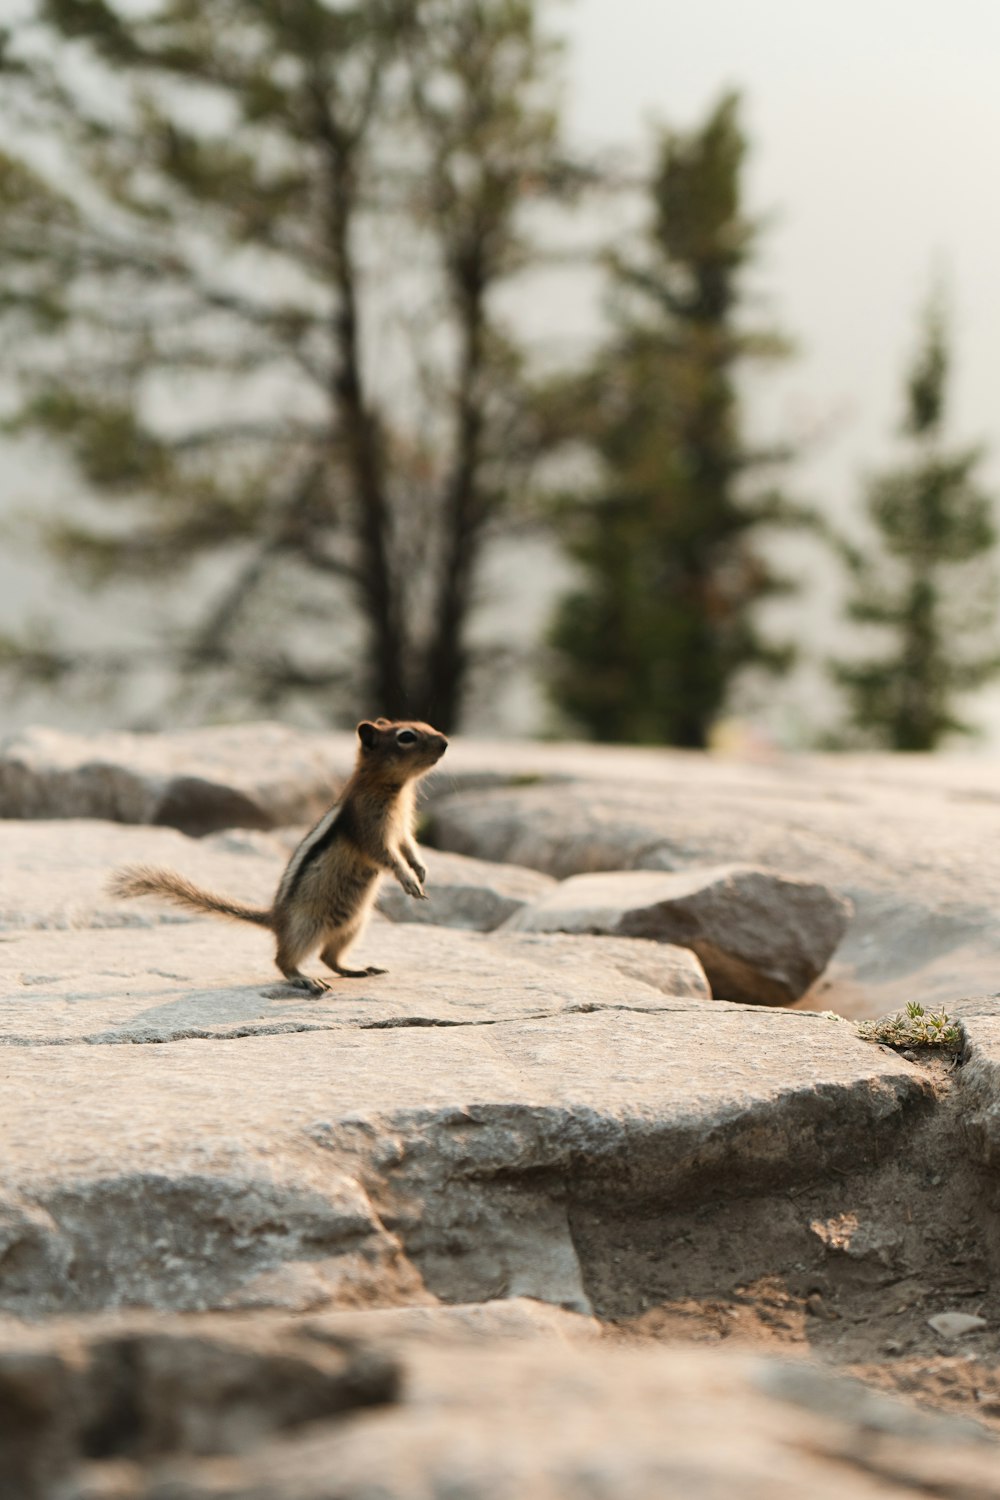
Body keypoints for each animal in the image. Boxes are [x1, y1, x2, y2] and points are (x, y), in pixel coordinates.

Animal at [108, 717, 446, 990]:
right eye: (406, 736)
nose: (445, 742)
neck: (392, 788)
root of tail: (276, 919)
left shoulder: (401, 829)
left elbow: (408, 847)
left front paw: (420, 870)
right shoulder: (370, 828)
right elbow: (386, 856)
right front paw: (408, 880)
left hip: (354, 925)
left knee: (328, 956)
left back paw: (357, 969)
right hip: (307, 926)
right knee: (283, 960)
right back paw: (304, 980)